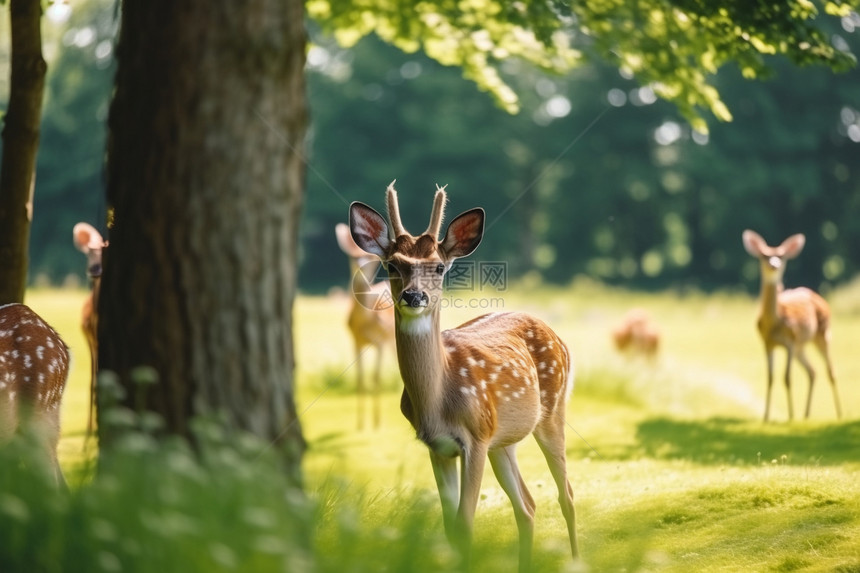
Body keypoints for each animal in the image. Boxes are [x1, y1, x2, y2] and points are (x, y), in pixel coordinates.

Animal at [336, 221, 396, 426]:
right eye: (353, 256)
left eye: (370, 256)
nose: (360, 264)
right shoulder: (356, 341)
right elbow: (360, 378)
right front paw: (360, 423)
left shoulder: (381, 341)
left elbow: (376, 377)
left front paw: (377, 422)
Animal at [348, 183, 576, 572]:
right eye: (392, 265)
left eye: (439, 267)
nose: (414, 295)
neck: (439, 399)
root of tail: (556, 335)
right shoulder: (439, 447)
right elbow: (449, 526)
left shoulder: (475, 438)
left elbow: (466, 523)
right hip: (503, 440)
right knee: (527, 505)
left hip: (551, 411)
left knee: (568, 495)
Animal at [744, 230, 844, 422]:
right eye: (764, 255)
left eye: (781, 256)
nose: (774, 265)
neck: (774, 323)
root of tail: (819, 298)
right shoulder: (767, 343)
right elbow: (770, 378)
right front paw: (766, 417)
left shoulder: (790, 341)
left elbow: (787, 378)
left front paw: (790, 416)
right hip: (801, 346)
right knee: (812, 372)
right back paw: (806, 414)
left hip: (822, 334)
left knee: (831, 371)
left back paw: (839, 414)